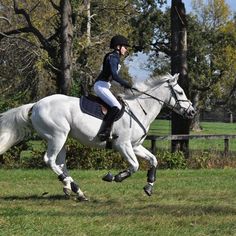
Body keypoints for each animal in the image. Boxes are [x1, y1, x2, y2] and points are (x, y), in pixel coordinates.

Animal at [0, 73, 195, 199]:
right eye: (180, 92)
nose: (192, 112)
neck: (139, 109)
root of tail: (35, 105)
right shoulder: (123, 145)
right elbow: (134, 166)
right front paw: (115, 177)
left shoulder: (135, 146)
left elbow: (153, 160)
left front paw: (149, 186)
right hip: (57, 136)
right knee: (50, 160)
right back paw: (74, 188)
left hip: (62, 139)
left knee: (60, 163)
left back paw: (72, 189)